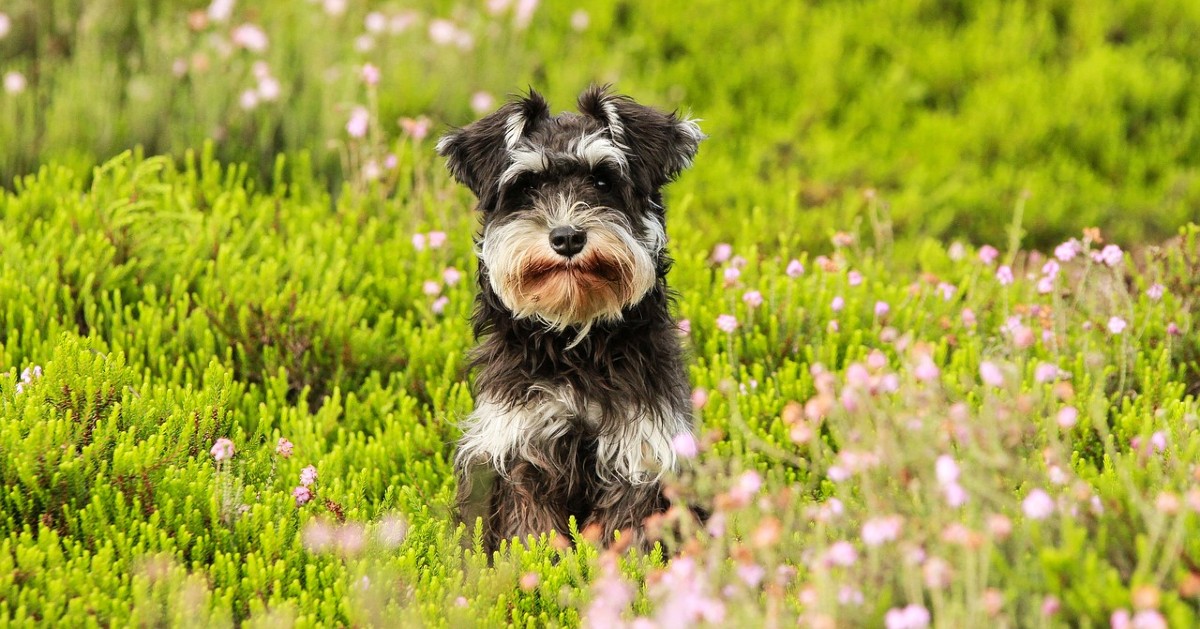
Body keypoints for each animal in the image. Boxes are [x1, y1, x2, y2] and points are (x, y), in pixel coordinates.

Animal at [439, 85, 700, 552]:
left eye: (603, 180)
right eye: (526, 185)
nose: (566, 237)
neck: (576, 340)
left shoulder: (639, 454)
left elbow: (623, 534)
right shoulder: (521, 451)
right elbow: (531, 534)